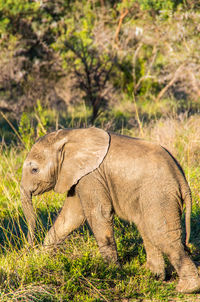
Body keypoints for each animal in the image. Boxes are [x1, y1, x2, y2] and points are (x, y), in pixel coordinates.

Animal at [20, 127, 200, 292]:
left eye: (34, 170)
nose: (28, 250)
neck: (69, 135)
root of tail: (182, 179)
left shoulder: (91, 175)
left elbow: (98, 213)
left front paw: (112, 272)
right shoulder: (80, 176)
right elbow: (71, 216)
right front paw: (42, 257)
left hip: (159, 194)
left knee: (161, 234)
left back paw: (187, 288)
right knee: (147, 229)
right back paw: (152, 275)